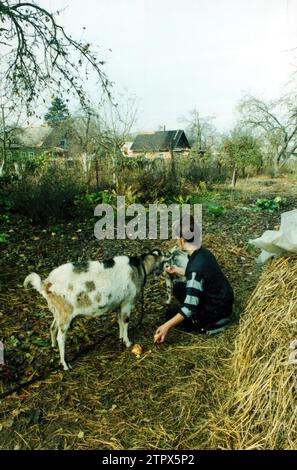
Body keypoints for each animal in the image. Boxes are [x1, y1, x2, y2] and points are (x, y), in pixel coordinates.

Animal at [23, 250, 169, 370]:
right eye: (164, 261)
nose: (163, 272)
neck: (138, 268)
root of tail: (45, 284)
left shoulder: (119, 304)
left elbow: (119, 321)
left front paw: (121, 337)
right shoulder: (127, 303)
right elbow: (125, 321)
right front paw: (127, 342)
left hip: (56, 312)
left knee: (52, 327)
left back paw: (53, 346)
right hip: (66, 314)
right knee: (61, 338)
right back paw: (65, 365)